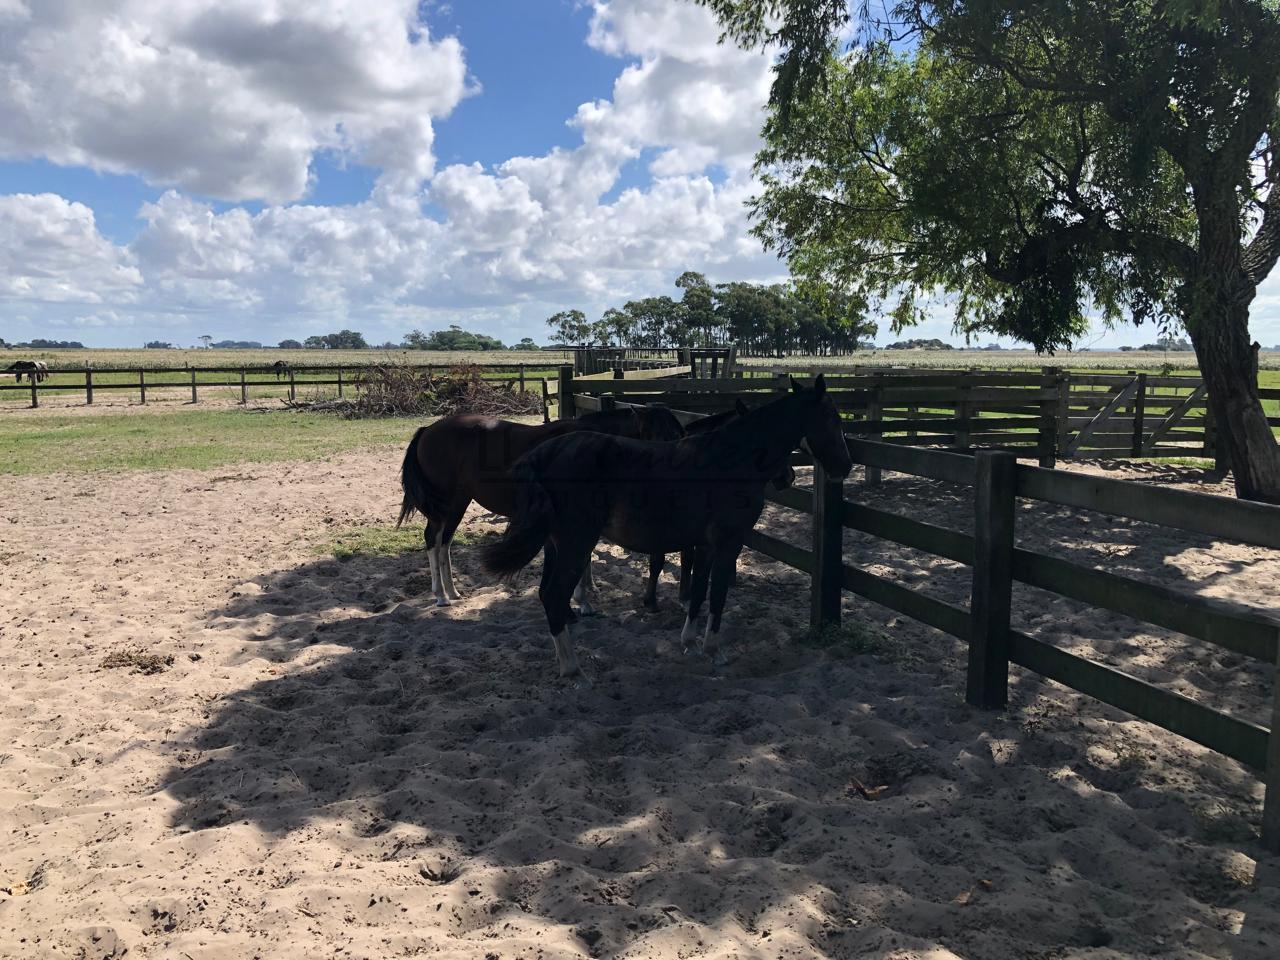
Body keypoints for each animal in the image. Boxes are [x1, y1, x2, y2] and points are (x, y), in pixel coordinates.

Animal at [396, 407, 691, 609]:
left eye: (678, 436)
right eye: (656, 436)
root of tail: (428, 430)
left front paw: (588, 591)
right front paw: (582, 600)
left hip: (459, 501)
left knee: (444, 541)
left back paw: (453, 591)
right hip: (447, 502)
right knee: (433, 539)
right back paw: (441, 596)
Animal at [483, 376, 855, 686]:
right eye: (833, 419)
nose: (845, 466)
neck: (732, 459)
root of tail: (544, 454)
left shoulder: (705, 545)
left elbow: (699, 590)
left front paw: (689, 642)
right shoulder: (729, 543)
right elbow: (718, 594)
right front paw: (714, 651)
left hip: (557, 544)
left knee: (547, 594)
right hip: (576, 544)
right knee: (554, 595)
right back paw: (575, 671)